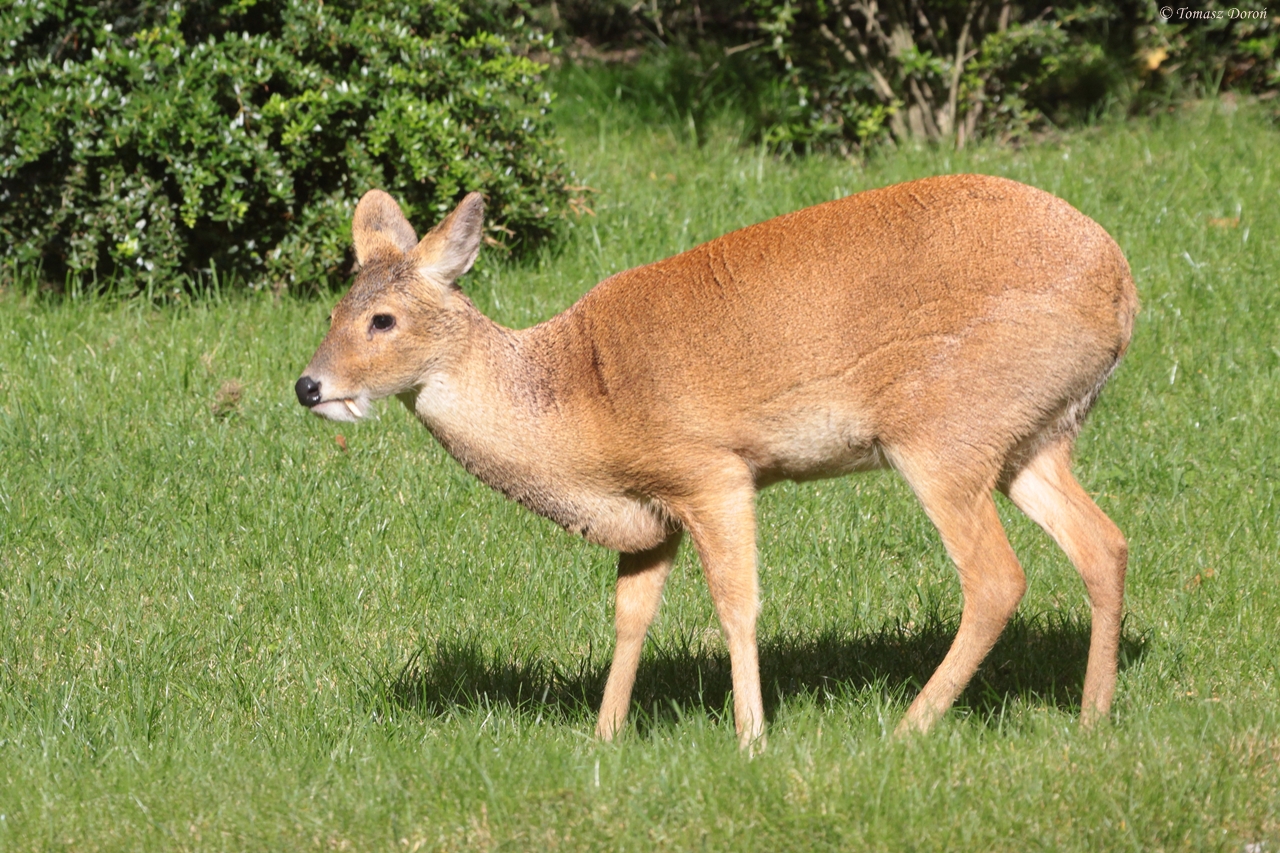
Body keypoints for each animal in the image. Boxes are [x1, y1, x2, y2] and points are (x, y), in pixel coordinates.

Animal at [295, 174, 1137, 749]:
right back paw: (1092, 717)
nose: (309, 385)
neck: (576, 395)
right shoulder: (654, 507)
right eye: (332, 310)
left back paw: (907, 727)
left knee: (996, 576)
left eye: (382, 319)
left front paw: (751, 736)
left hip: (942, 431)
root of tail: (1124, 289)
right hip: (1030, 439)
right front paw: (604, 735)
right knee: (1104, 542)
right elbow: (630, 614)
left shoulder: (712, 470)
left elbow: (738, 604)